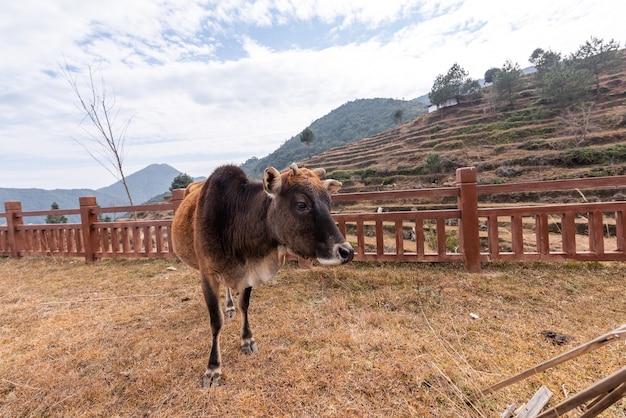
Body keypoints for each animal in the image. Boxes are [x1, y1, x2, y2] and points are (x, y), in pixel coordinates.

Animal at [171, 162, 352, 386]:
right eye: (301, 204)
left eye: (329, 203)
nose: (346, 251)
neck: (234, 220)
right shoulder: (208, 275)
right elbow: (216, 321)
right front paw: (213, 368)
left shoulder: (249, 272)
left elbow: (244, 305)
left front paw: (247, 339)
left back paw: (229, 306)